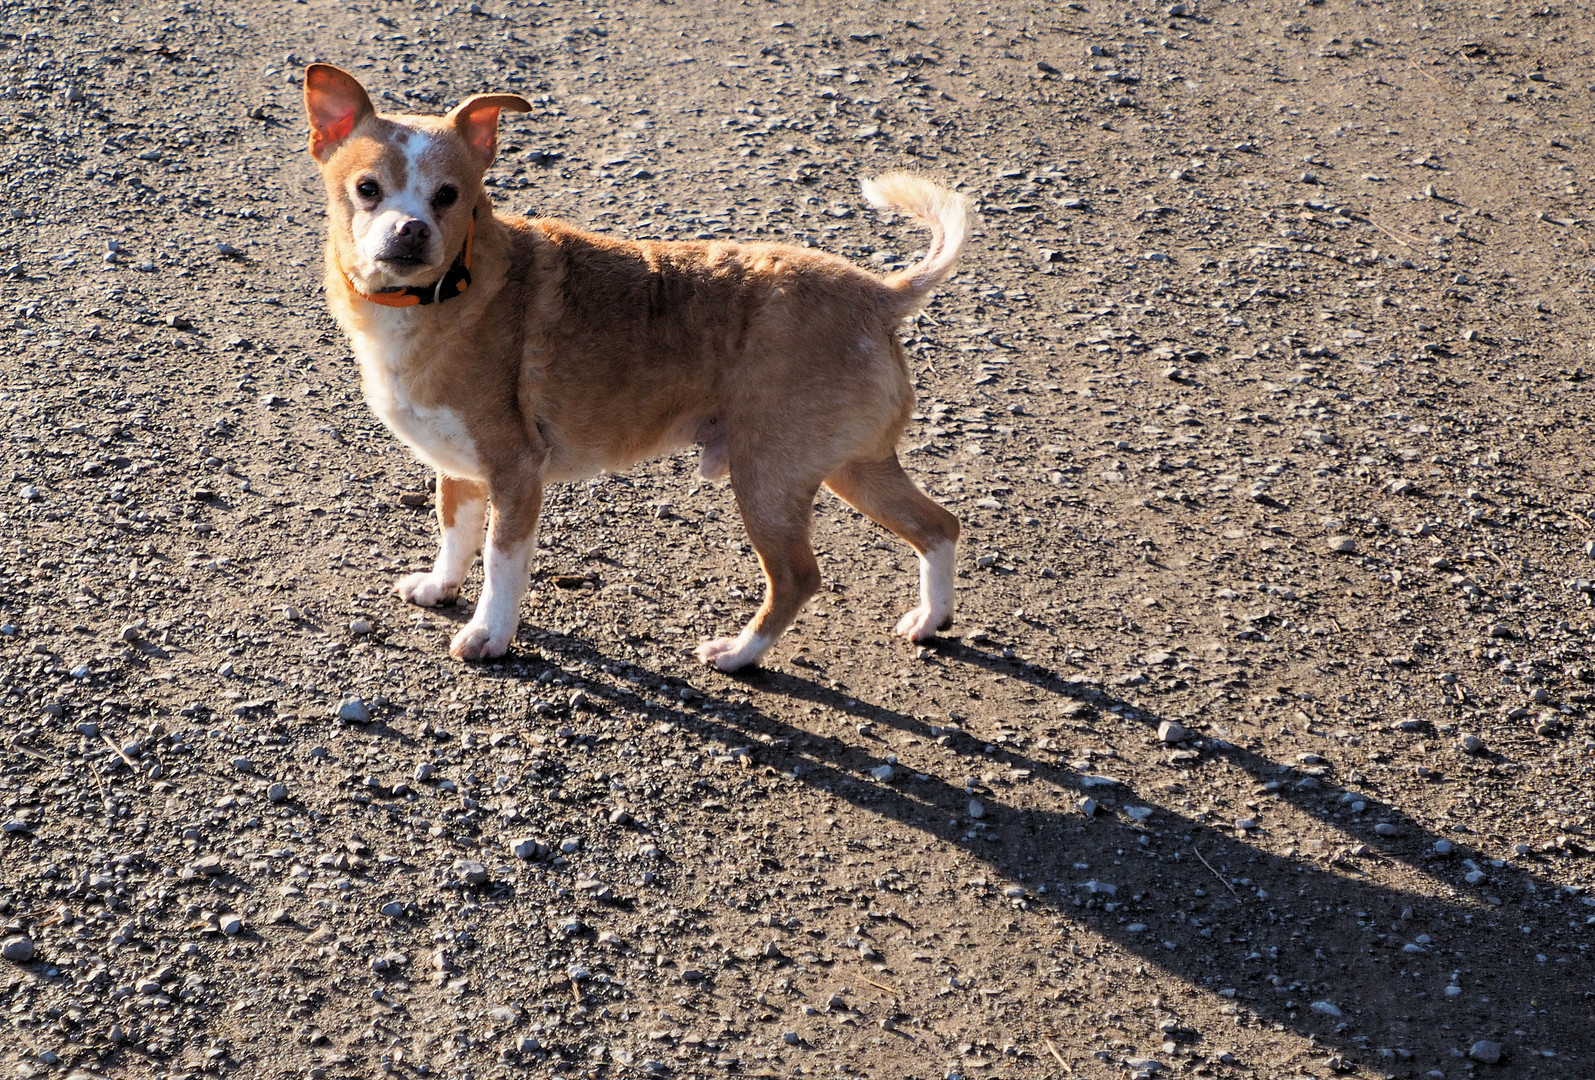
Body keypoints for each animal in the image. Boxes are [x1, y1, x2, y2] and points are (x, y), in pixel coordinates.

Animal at [301, 63, 969, 670]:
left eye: (448, 196)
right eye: (368, 189)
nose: (411, 230)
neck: (436, 297)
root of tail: (876, 293)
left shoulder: (516, 471)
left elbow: (500, 560)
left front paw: (490, 634)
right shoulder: (458, 465)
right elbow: (454, 533)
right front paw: (440, 588)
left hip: (768, 478)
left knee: (799, 577)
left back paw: (739, 653)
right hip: (853, 466)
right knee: (940, 525)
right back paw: (930, 619)